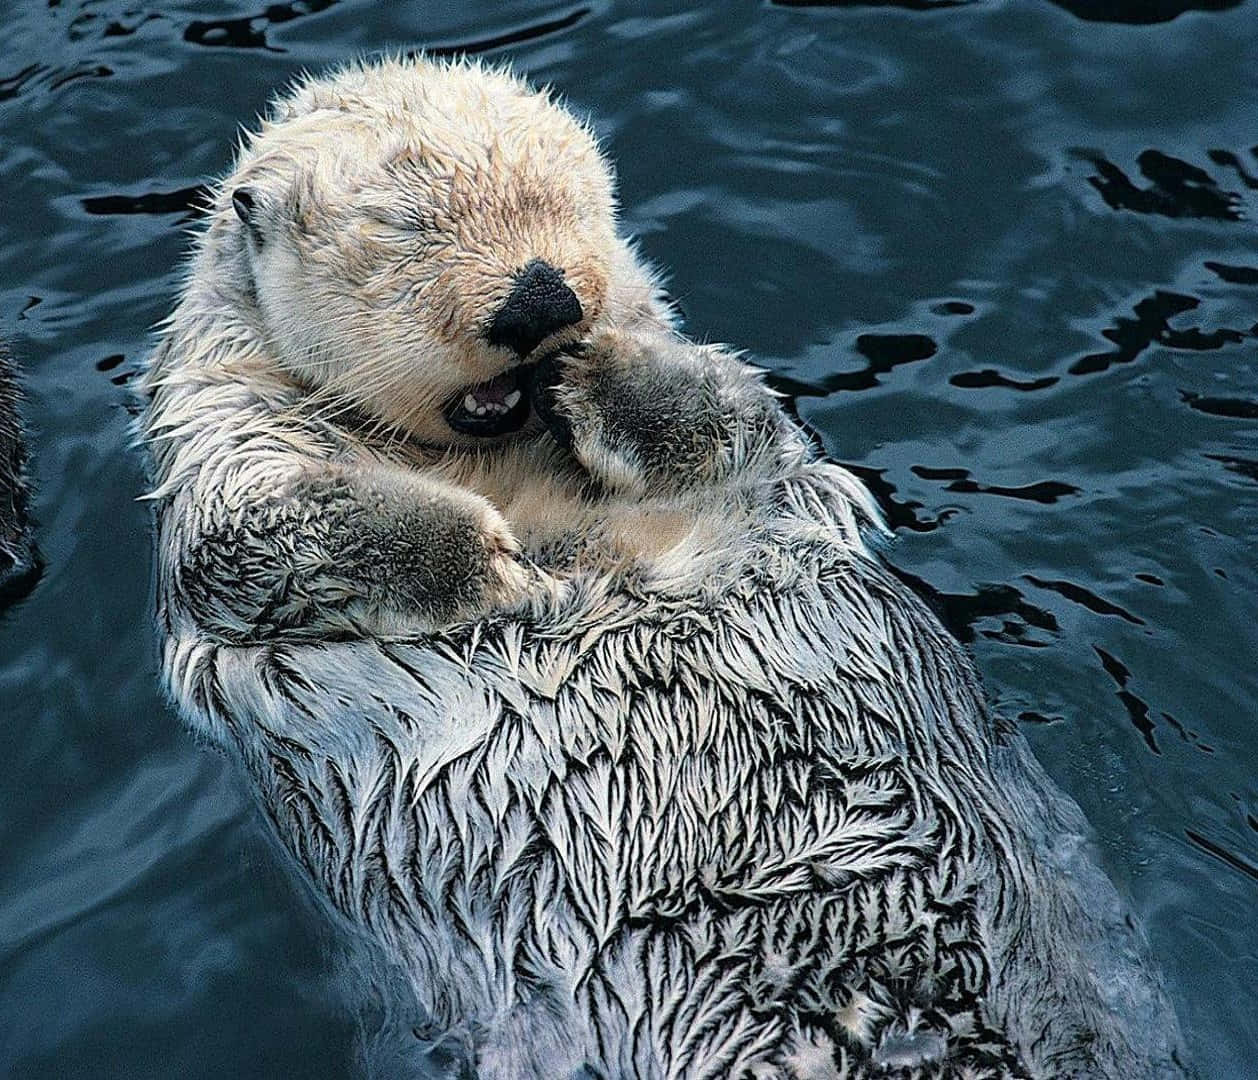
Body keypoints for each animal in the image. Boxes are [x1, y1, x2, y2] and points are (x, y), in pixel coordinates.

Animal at [140, 56, 1187, 1080]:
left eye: (569, 203)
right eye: (405, 228)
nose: (542, 301)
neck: (497, 461)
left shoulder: (746, 443)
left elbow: (733, 416)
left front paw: (594, 375)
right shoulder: (224, 443)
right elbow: (252, 538)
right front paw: (497, 565)